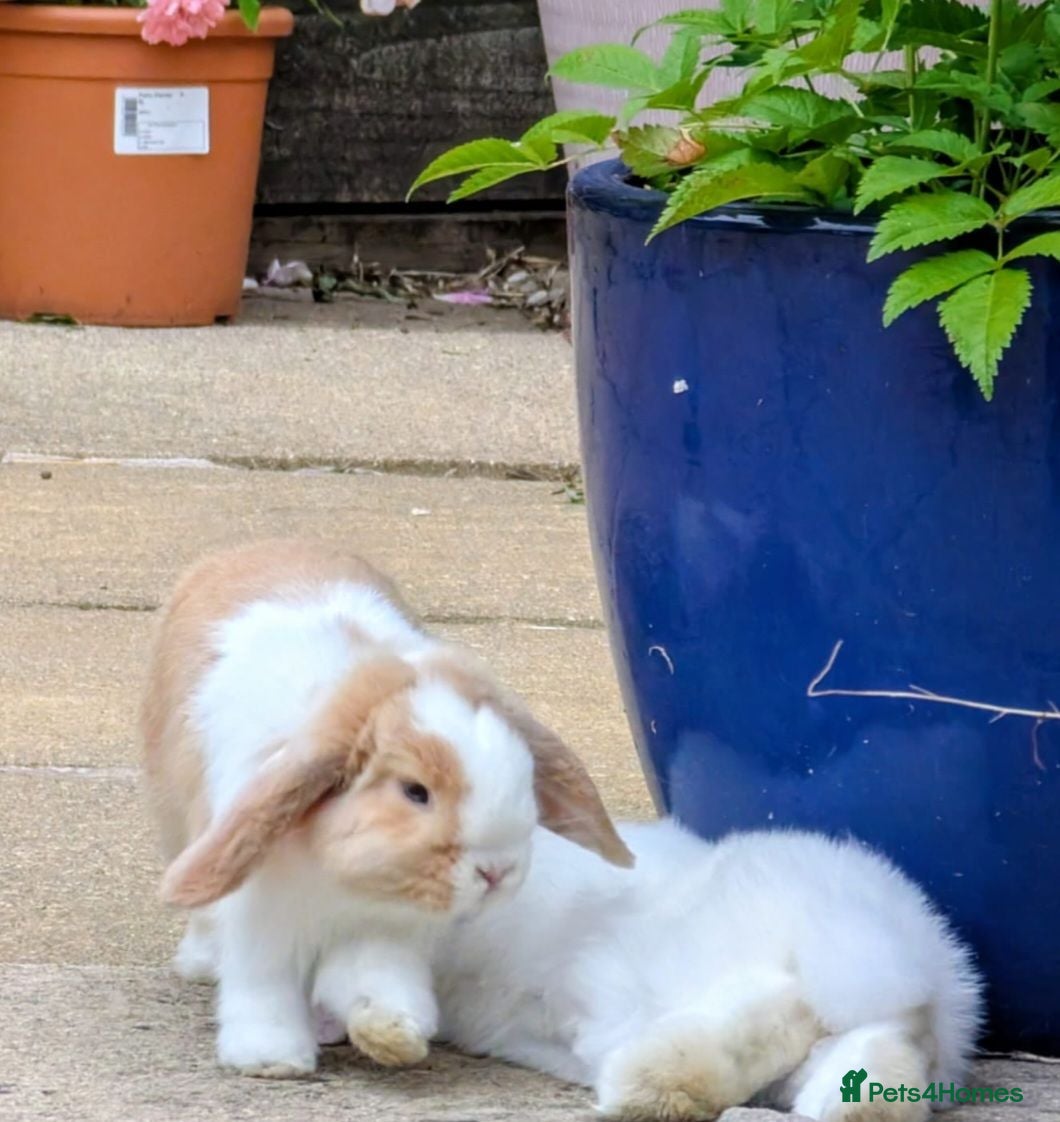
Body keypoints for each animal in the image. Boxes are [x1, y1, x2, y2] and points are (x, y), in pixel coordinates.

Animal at [140, 539, 632, 1079]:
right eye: (415, 791)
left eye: (524, 770)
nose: (496, 872)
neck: (342, 877)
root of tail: (256, 547)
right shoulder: (262, 917)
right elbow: (264, 984)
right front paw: (272, 1058)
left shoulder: (386, 930)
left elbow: (376, 979)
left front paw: (395, 1034)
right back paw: (203, 964)